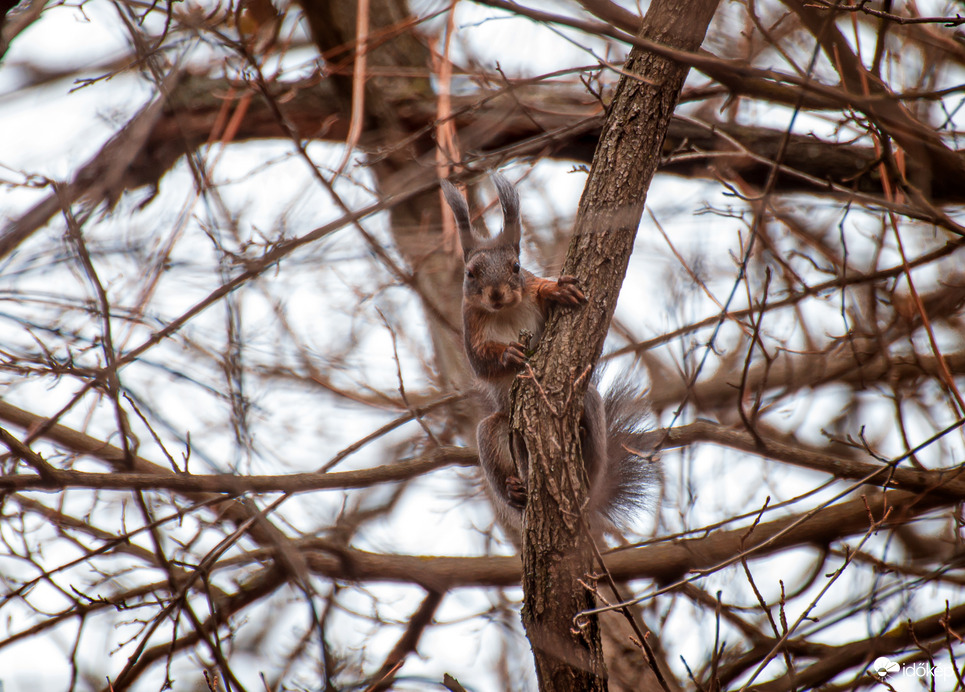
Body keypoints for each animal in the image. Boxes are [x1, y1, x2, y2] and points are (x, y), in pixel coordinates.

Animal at [438, 172, 656, 540]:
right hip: (493, 434)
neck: (505, 312)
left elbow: (550, 298)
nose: (496, 294)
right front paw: (508, 354)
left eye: (516, 267)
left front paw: (556, 289)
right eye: (470, 273)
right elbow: (481, 363)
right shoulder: (471, 328)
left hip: (589, 409)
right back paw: (514, 491)